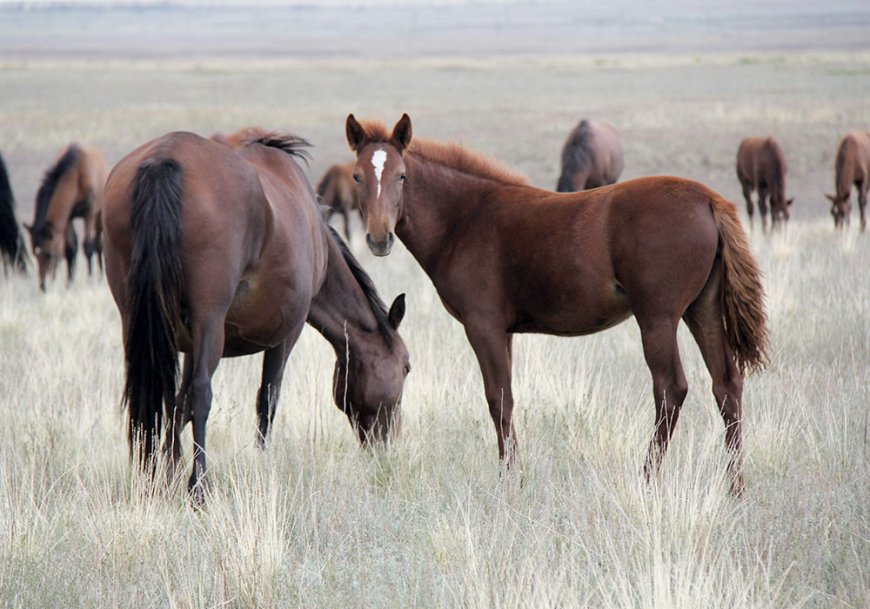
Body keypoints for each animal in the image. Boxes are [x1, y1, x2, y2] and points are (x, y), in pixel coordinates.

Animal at [26, 145, 108, 292]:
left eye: (49, 254)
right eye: (35, 254)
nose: (43, 286)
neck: (76, 174)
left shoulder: (88, 213)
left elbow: (88, 246)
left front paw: (90, 280)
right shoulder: (68, 217)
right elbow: (70, 248)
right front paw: (69, 282)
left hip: (98, 215)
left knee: (98, 244)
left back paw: (100, 276)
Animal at [103, 127, 412, 498]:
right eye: (407, 367)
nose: (388, 446)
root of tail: (165, 159)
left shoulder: (187, 342)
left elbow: (177, 405)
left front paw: (169, 470)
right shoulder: (286, 334)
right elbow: (266, 400)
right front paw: (260, 465)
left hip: (137, 320)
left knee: (153, 397)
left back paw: (150, 479)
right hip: (210, 321)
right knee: (202, 393)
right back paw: (199, 487)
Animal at [348, 114, 768, 494]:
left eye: (401, 175)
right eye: (357, 177)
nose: (379, 239)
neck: (465, 219)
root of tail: (708, 199)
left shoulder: (482, 326)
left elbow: (498, 398)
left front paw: (510, 480)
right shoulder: (504, 332)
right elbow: (506, 398)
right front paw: (512, 473)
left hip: (658, 318)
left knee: (671, 389)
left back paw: (648, 477)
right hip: (702, 310)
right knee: (726, 385)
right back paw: (735, 487)